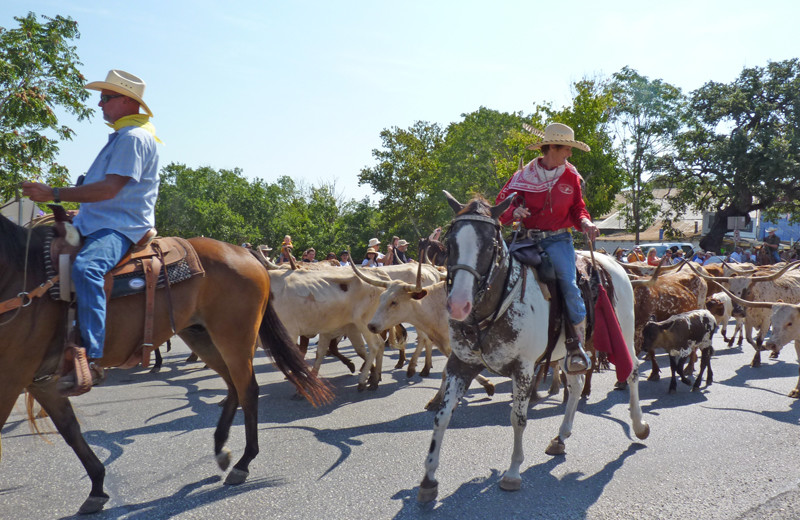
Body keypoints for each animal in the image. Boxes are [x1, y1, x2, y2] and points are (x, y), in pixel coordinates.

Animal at [0, 213, 332, 512]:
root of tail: (245, 254)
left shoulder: (12, 379)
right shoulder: (40, 380)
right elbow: (70, 430)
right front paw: (97, 487)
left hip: (234, 338)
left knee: (247, 389)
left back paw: (243, 463)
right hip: (201, 337)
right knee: (232, 387)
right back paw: (220, 448)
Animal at [418, 193, 648, 502]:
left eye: (490, 244)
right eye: (451, 241)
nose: (457, 304)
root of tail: (608, 261)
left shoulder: (524, 368)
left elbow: (518, 418)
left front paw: (513, 473)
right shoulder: (461, 363)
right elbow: (442, 416)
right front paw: (429, 477)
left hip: (623, 330)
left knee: (632, 371)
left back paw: (639, 425)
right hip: (572, 351)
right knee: (576, 385)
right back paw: (560, 438)